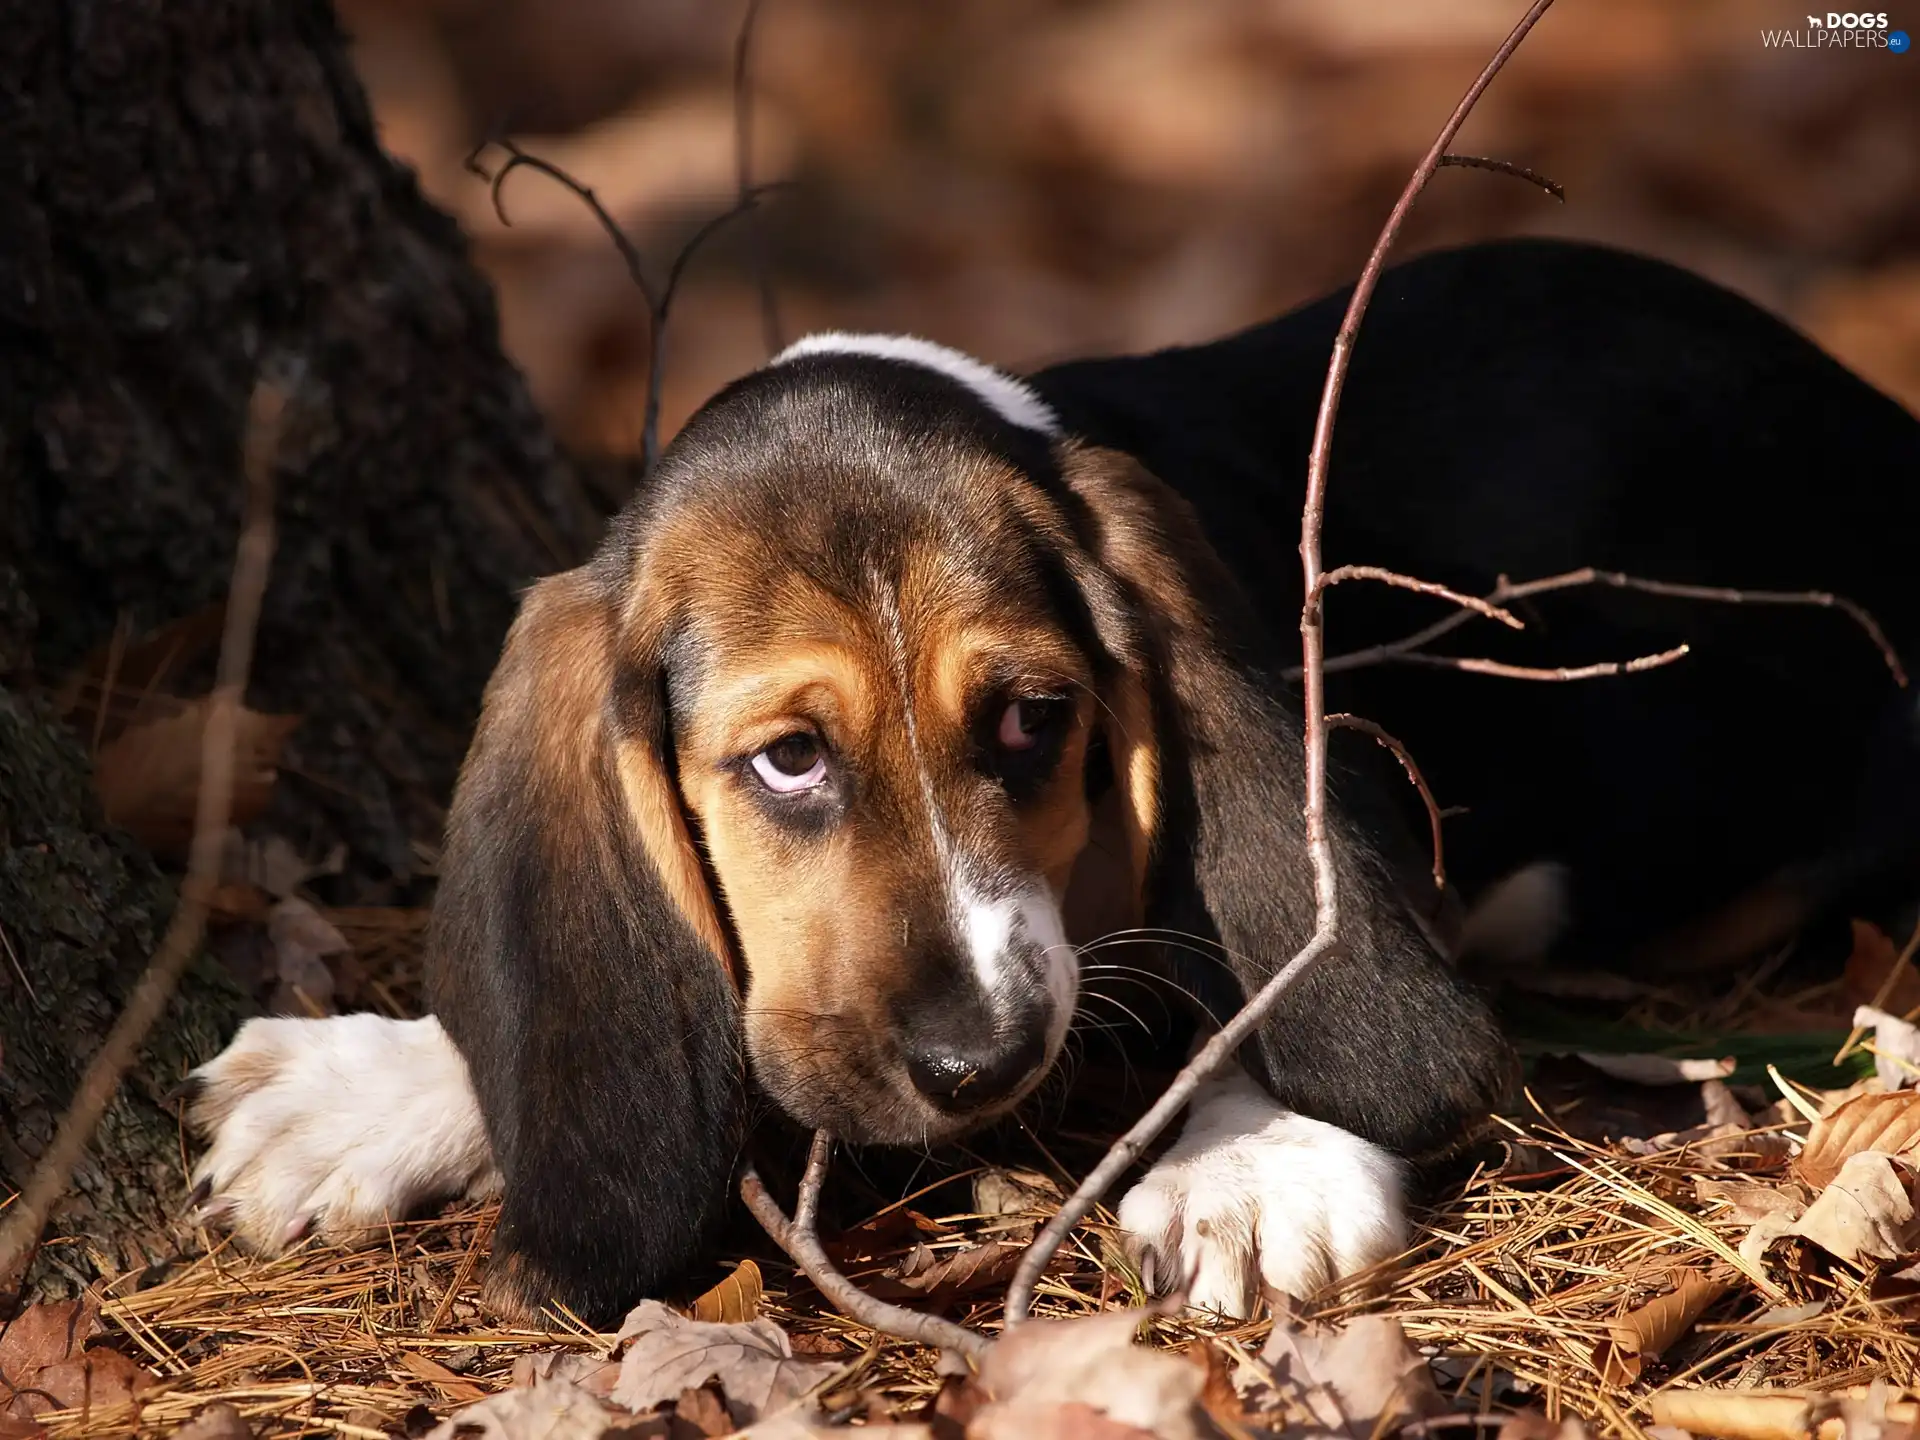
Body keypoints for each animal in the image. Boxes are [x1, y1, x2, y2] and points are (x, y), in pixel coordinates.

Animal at [180, 237, 1920, 1328]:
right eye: (788, 758)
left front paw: (1254, 1160)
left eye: (1031, 719)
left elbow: (1270, 955)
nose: (981, 1060)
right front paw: (372, 1090)